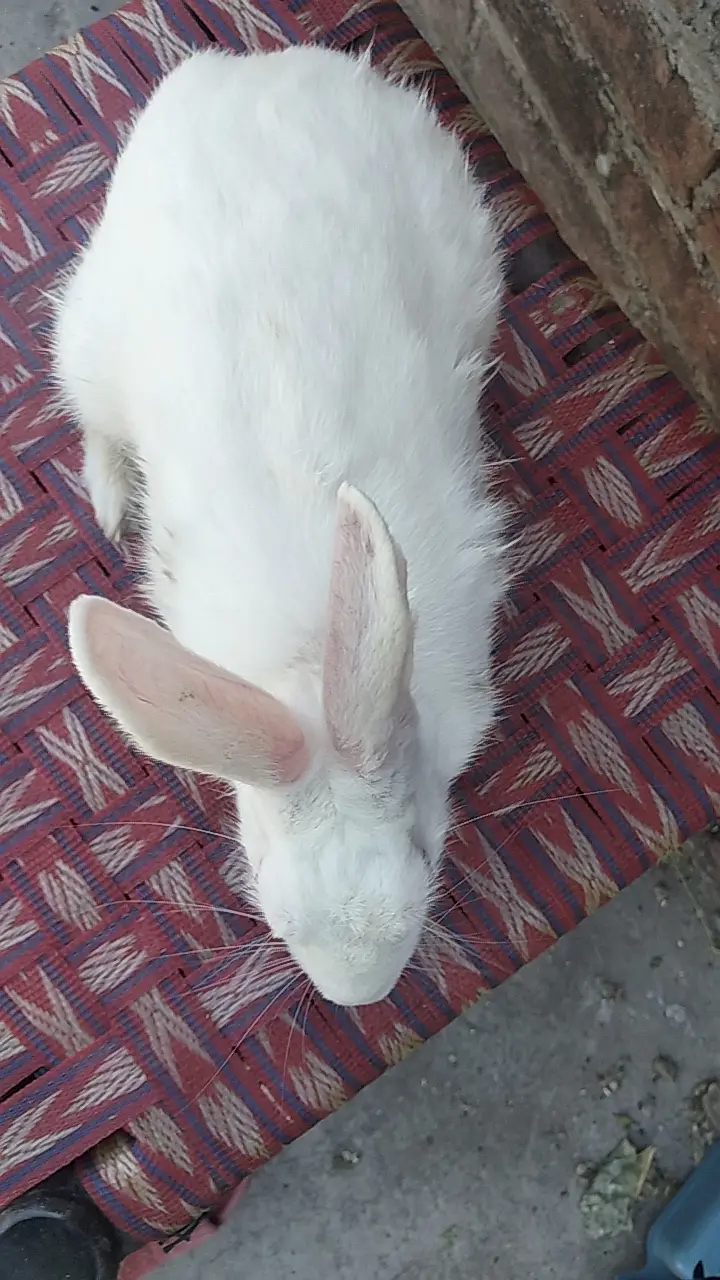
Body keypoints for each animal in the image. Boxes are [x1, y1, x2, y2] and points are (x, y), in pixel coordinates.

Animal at [55, 45, 508, 1008]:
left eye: (426, 854)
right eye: (271, 898)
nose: (360, 995)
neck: (310, 664)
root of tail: (256, 70)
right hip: (83, 340)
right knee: (93, 421)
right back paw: (110, 500)